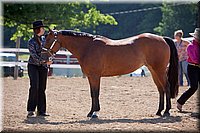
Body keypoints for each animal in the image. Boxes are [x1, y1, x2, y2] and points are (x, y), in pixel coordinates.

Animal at [41, 29, 179, 118]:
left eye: (49, 40)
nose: (42, 57)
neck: (88, 47)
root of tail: (162, 38)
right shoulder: (91, 77)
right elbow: (92, 94)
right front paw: (91, 112)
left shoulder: (95, 76)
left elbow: (96, 93)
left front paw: (94, 113)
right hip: (153, 70)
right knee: (160, 89)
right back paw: (159, 111)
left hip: (159, 70)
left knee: (166, 87)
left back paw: (166, 111)